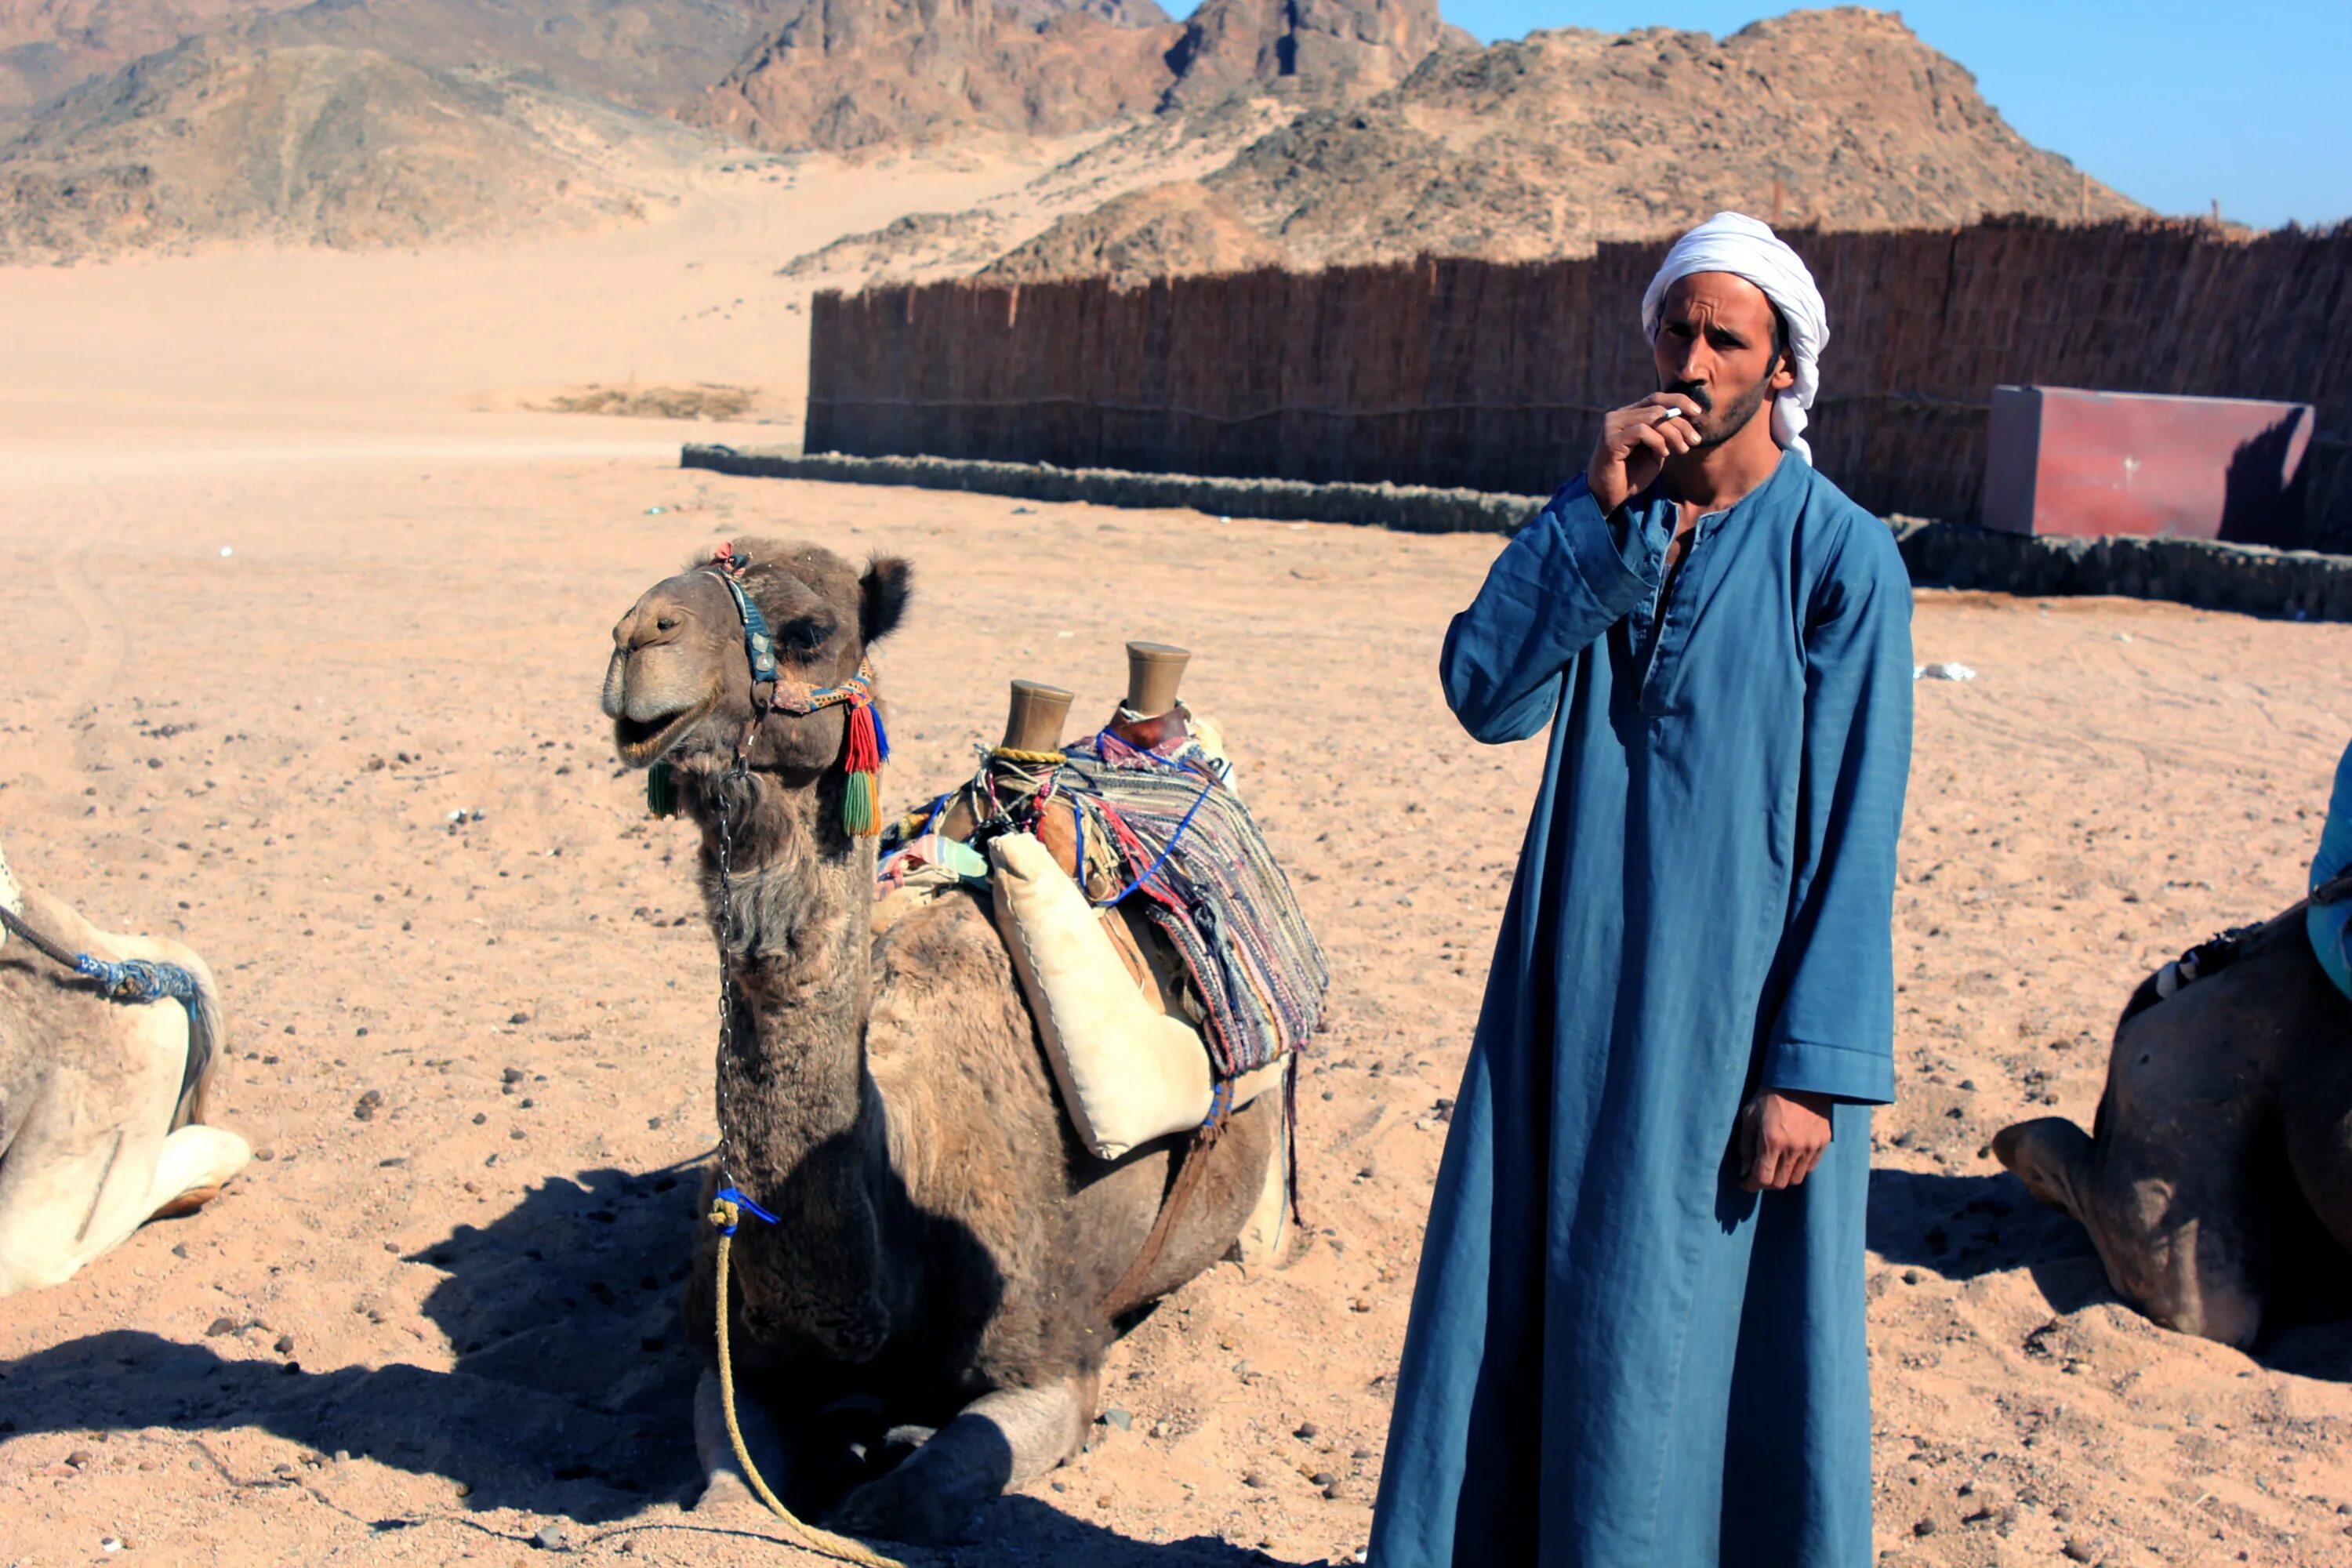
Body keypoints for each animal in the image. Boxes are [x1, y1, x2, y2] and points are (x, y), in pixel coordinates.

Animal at [597, 540, 1279, 1542]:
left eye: (811, 630)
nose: (638, 633)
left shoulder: (1053, 1361)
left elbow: (902, 1499)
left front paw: (890, 1454)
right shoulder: (733, 1362)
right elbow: (728, 1486)